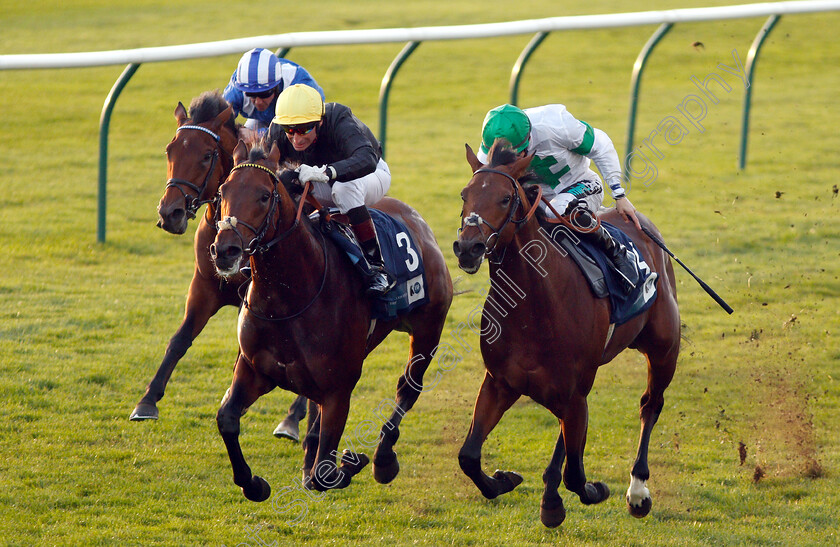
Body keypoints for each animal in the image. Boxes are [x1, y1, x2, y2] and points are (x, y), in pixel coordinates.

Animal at [133, 89, 310, 440]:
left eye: (206, 155)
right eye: (169, 150)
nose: (170, 213)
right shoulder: (204, 285)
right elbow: (180, 339)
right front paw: (147, 401)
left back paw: (292, 418)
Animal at [213, 142, 456, 500]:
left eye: (264, 196)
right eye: (222, 191)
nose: (225, 250)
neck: (288, 298)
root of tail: (418, 221)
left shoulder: (339, 388)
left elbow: (324, 473)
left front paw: (352, 462)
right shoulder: (255, 369)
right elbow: (227, 419)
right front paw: (254, 483)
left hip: (428, 329)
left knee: (408, 387)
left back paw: (384, 460)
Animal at [452, 143, 684, 528]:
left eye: (504, 198)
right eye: (464, 194)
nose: (467, 247)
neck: (534, 306)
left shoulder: (574, 392)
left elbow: (577, 475)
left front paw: (595, 490)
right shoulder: (501, 382)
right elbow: (469, 456)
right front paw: (504, 480)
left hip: (664, 348)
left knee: (650, 405)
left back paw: (637, 491)